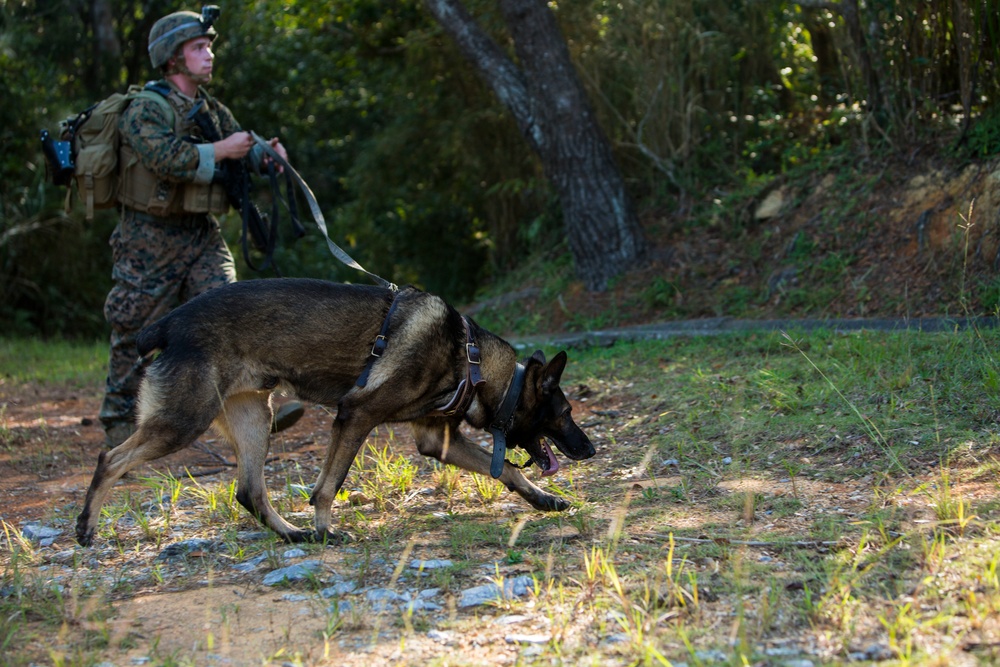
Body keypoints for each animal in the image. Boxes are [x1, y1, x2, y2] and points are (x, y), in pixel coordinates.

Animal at [78, 280, 596, 544]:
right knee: (111, 459)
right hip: (184, 422)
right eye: (566, 411)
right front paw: (327, 526)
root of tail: (168, 323)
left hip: (256, 420)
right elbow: (328, 486)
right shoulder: (355, 415)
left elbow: (507, 469)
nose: (591, 449)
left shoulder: (436, 440)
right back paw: (86, 528)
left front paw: (543, 500)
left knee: (249, 491)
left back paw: (293, 535)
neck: (470, 358)